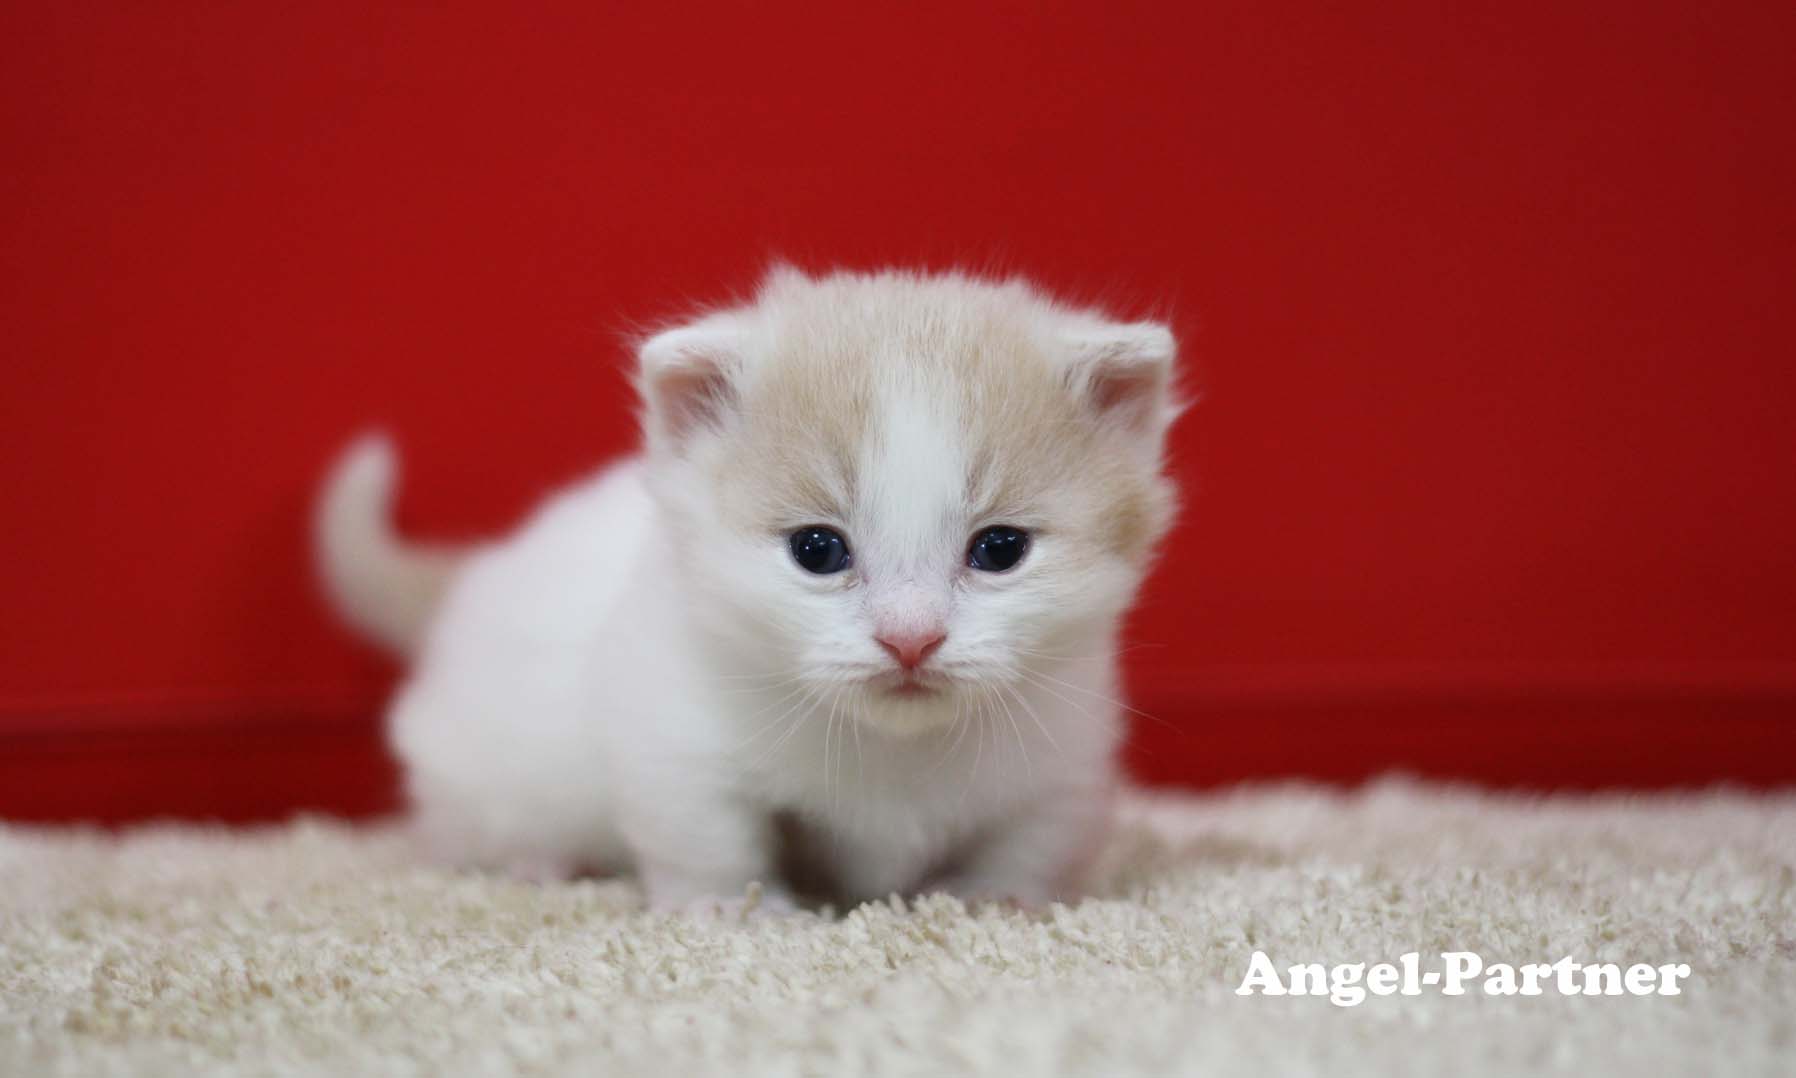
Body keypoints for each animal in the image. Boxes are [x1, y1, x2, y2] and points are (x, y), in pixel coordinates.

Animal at [316, 267, 1185, 909]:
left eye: (1000, 549)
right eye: (817, 550)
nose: (910, 637)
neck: (895, 748)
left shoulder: (1066, 756)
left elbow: (1030, 845)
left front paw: (992, 899)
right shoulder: (674, 737)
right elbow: (712, 838)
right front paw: (737, 909)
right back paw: (536, 864)